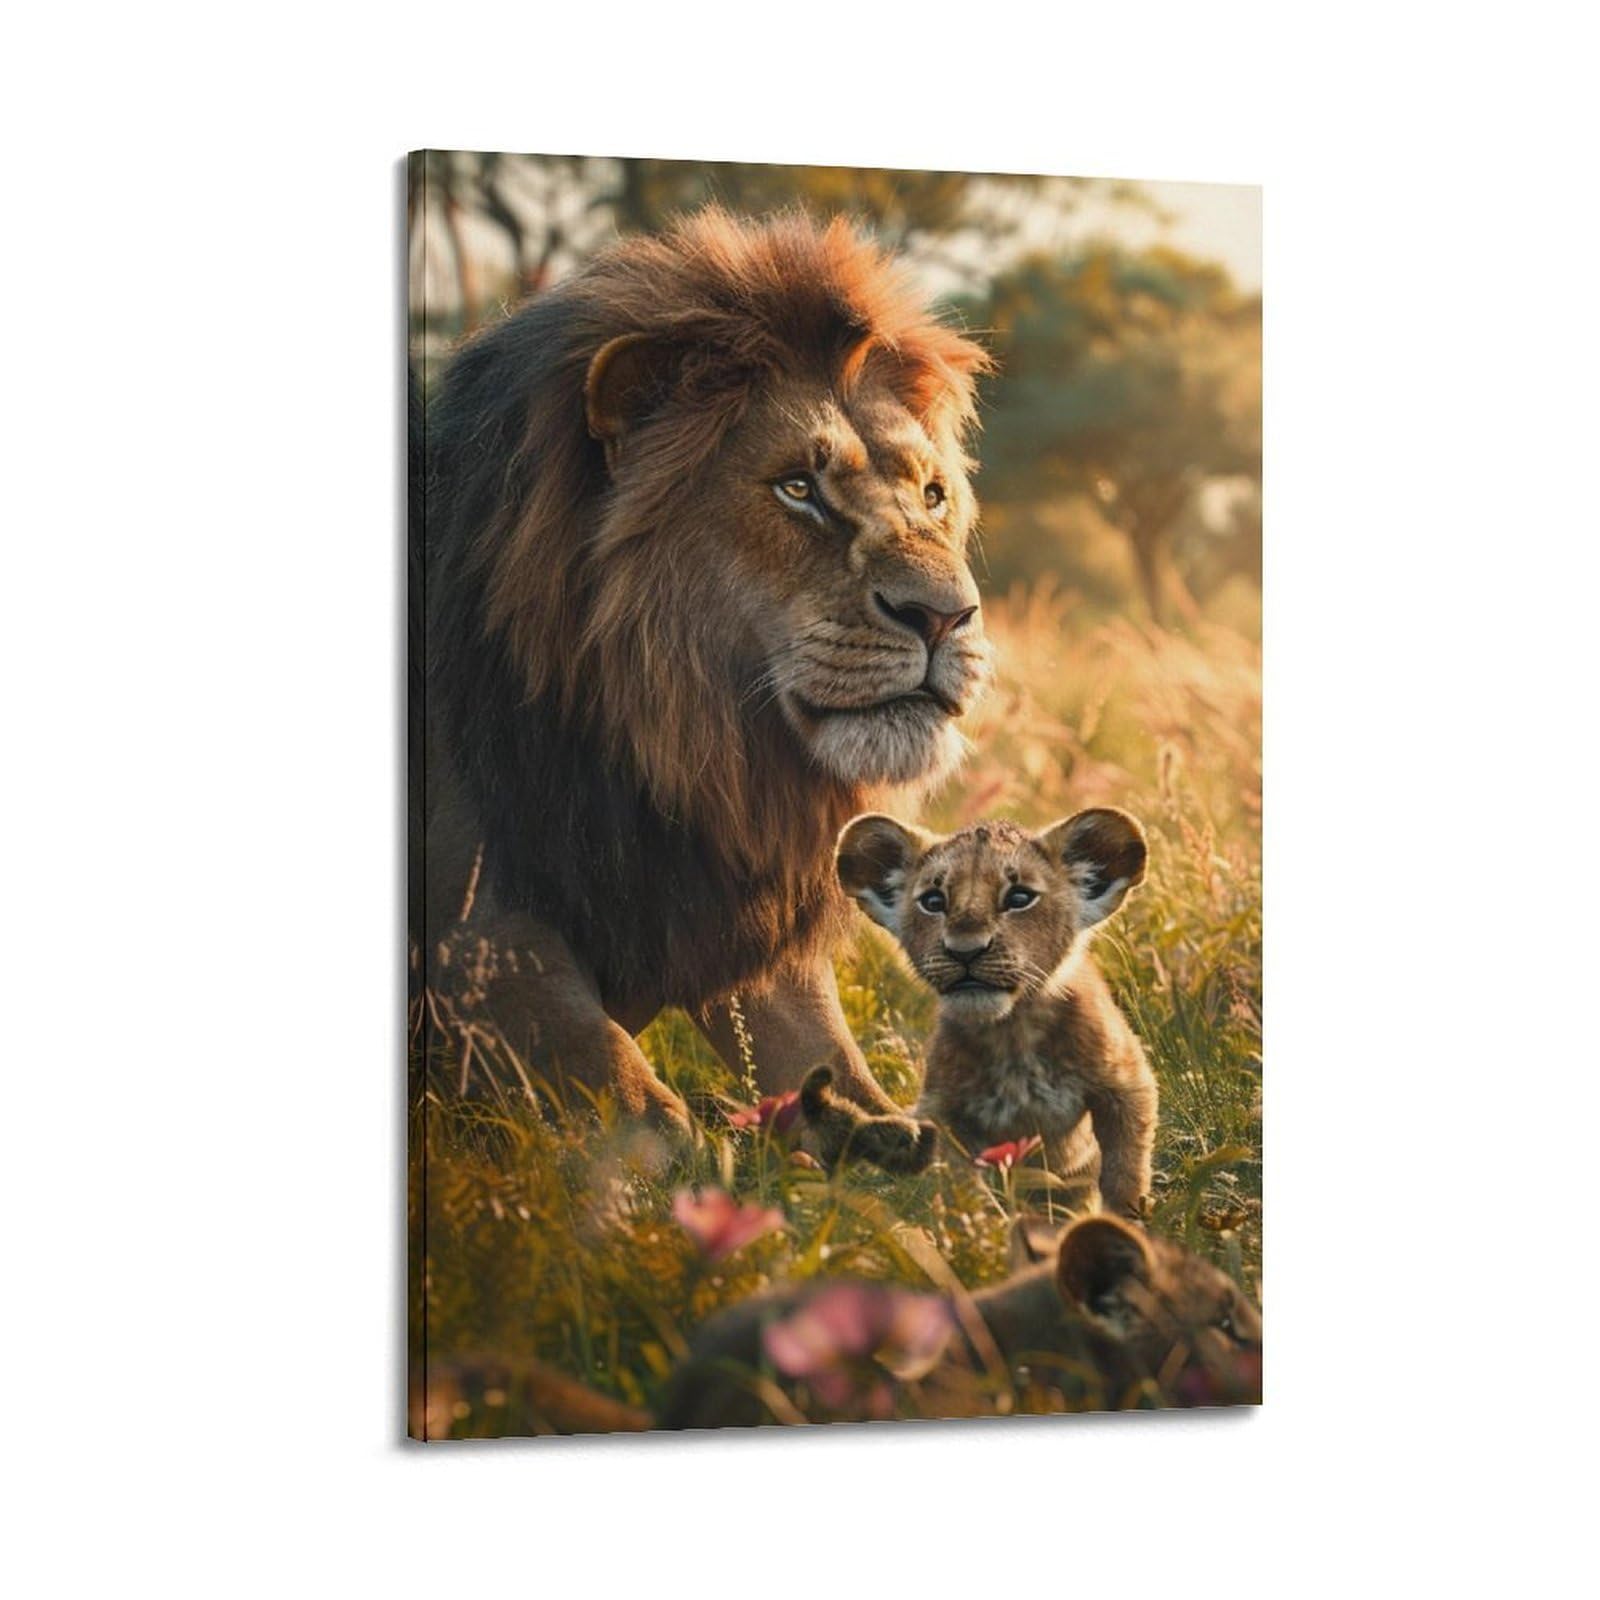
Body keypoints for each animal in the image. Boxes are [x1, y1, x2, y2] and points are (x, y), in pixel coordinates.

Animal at [420, 208, 993, 1128]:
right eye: (797, 489)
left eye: (932, 495)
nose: (946, 615)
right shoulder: (478, 938)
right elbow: (642, 1109)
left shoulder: (732, 922)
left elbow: (866, 1096)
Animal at [833, 810, 1158, 1216]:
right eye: (933, 901)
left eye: (1019, 898)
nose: (965, 951)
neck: (1012, 1033)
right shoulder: (942, 1111)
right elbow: (964, 1187)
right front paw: (984, 1226)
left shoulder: (1127, 1085)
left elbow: (1125, 1170)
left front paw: (1125, 1222)